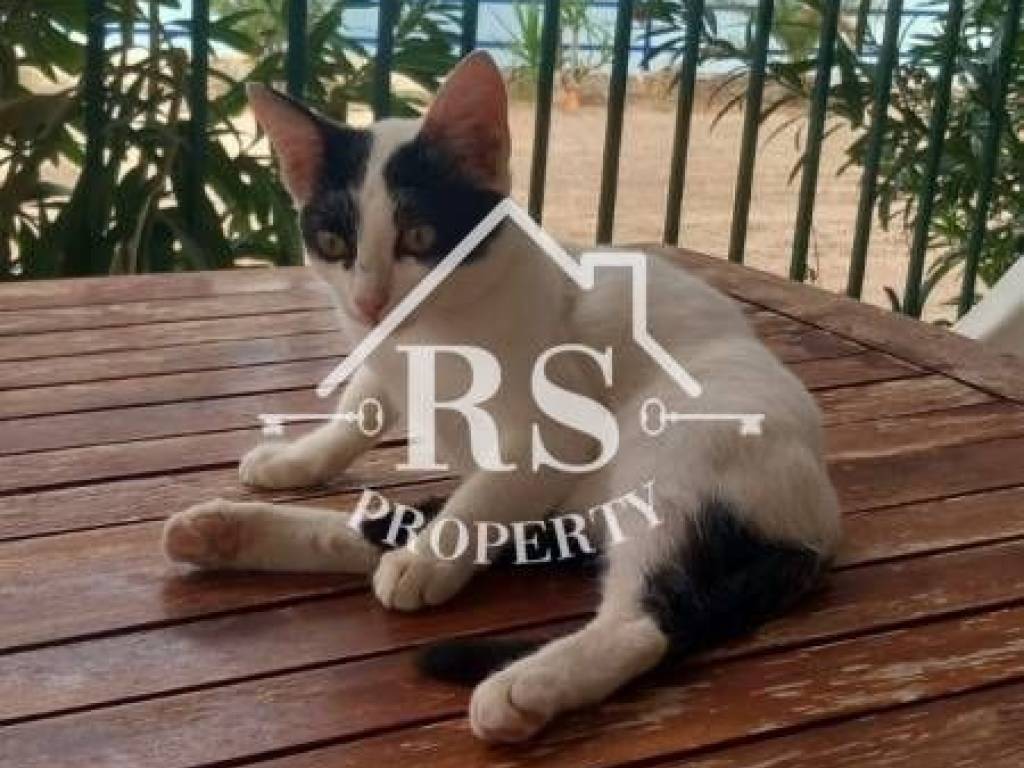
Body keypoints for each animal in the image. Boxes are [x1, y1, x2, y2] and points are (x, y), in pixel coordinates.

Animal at [163, 51, 841, 743]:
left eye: (420, 235)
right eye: (332, 245)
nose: (371, 303)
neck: (435, 334)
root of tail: (817, 528)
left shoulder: (558, 434)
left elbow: (485, 496)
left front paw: (428, 561)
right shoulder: (386, 358)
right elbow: (364, 404)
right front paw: (298, 457)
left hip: (679, 442)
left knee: (650, 614)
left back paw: (520, 682)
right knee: (403, 525)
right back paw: (224, 532)